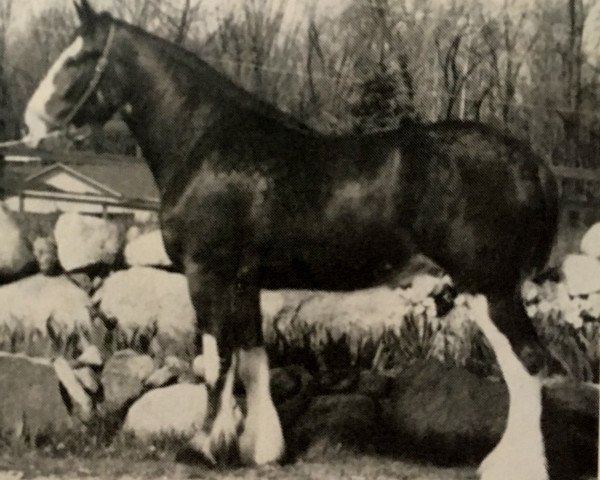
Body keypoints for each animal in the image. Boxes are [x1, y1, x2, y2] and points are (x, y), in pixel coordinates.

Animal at [23, 2, 556, 476]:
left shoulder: (207, 274)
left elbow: (217, 361)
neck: (207, 143)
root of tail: (528, 159)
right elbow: (253, 360)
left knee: (527, 365)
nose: (30, 124)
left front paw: (202, 449)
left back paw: (513, 466)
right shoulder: (244, 282)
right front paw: (260, 451)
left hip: (489, 287)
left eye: (78, 58)